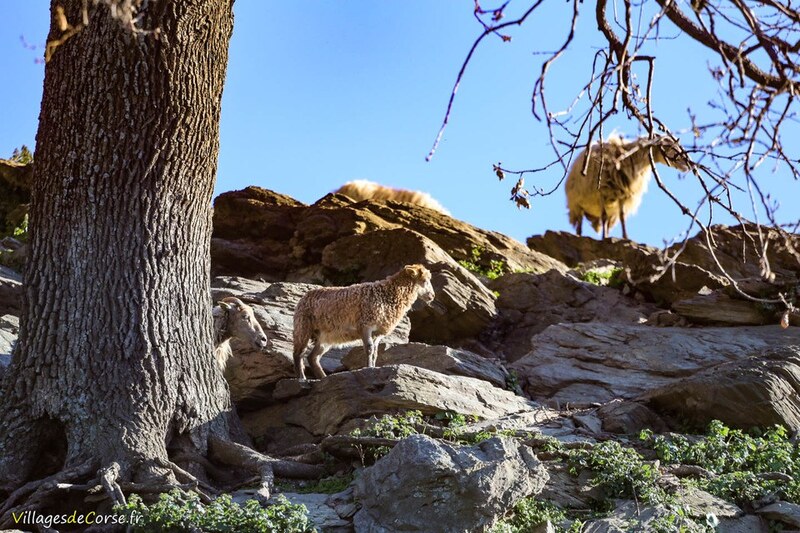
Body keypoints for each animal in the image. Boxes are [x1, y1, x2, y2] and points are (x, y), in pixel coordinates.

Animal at [290, 264, 434, 380]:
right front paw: (368, 368)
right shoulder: (365, 325)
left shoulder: (378, 333)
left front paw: (373, 366)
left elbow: (375, 352)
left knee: (312, 357)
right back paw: (302, 378)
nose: (432, 296)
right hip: (303, 327)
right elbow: (369, 349)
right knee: (298, 354)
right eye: (424, 281)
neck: (388, 294)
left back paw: (323, 377)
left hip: (326, 336)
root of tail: (303, 298)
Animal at [564, 134, 692, 240]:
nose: (688, 165)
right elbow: (604, 216)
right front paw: (605, 238)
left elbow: (622, 218)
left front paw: (625, 237)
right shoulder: (602, 192)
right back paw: (579, 236)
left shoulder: (623, 196)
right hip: (576, 204)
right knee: (580, 223)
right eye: (668, 146)